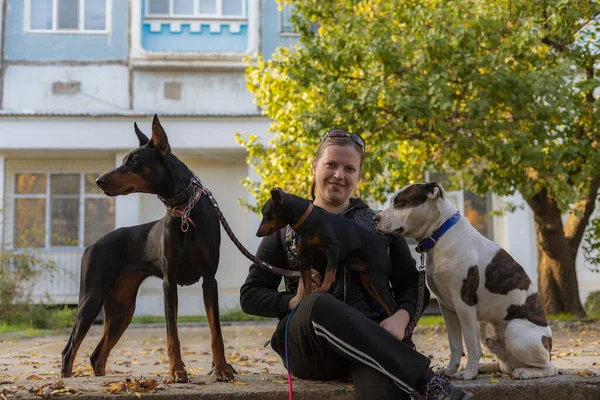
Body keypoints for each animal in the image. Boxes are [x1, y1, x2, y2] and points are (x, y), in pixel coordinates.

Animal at [255, 188, 396, 316]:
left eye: (266, 214)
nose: (257, 233)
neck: (307, 220)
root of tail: (383, 242)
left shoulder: (334, 248)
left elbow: (329, 273)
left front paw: (323, 288)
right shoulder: (304, 260)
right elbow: (306, 282)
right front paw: (306, 297)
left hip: (378, 280)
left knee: (392, 307)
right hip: (369, 282)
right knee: (388, 307)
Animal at [376, 183, 556, 380]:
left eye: (400, 203)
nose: (375, 218)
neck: (441, 234)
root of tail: (548, 344)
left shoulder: (464, 304)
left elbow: (470, 343)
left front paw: (469, 373)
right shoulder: (446, 307)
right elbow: (455, 343)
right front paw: (450, 371)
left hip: (515, 330)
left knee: (549, 367)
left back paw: (525, 372)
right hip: (488, 333)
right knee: (505, 365)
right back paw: (488, 367)